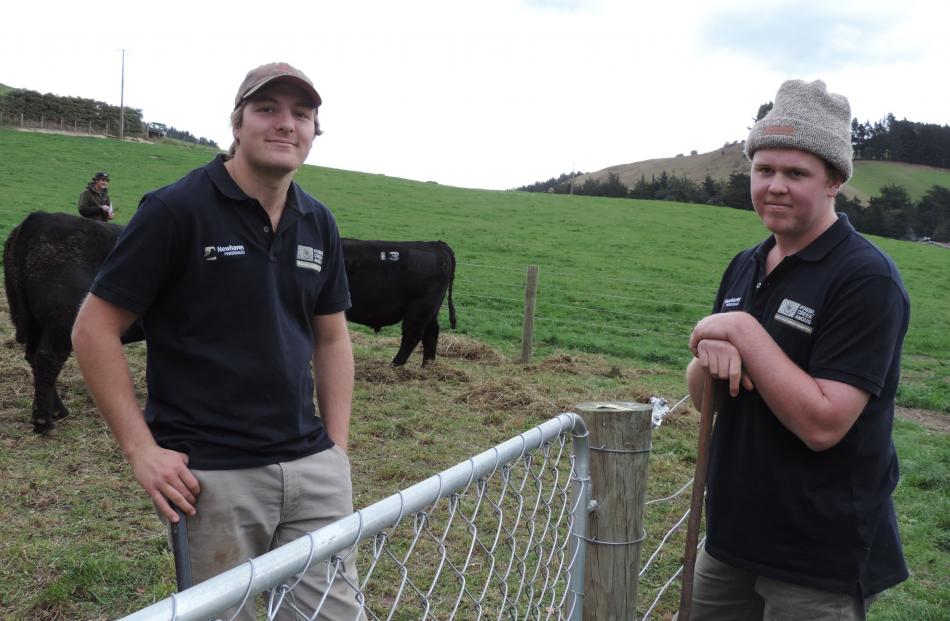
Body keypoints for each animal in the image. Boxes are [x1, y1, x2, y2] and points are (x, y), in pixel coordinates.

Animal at [3, 211, 143, 434]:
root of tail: (40, 217)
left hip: (34, 323)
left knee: (34, 358)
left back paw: (56, 411)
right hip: (62, 321)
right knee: (47, 358)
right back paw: (44, 421)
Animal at [344, 236, 460, 364]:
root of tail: (437, 244)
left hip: (419, 309)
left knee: (413, 334)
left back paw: (396, 363)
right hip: (431, 310)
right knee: (431, 333)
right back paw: (427, 364)